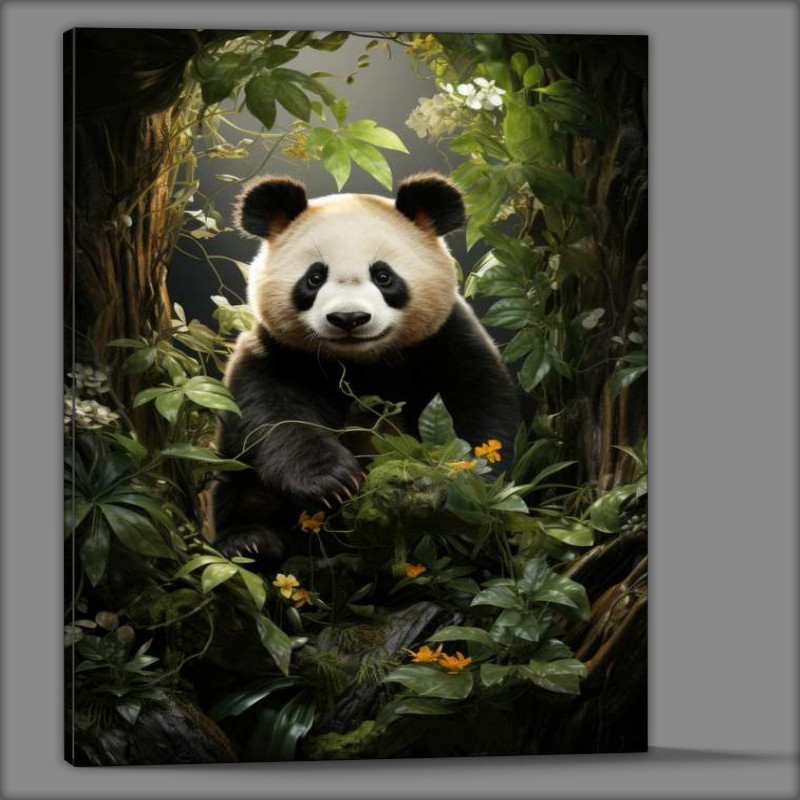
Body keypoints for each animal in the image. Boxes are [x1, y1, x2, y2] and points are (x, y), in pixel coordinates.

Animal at [210, 172, 520, 563]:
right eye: (314, 278)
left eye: (383, 276)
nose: (349, 318)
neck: (361, 362)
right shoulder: (278, 350)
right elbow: (272, 412)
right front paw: (332, 481)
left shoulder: (447, 338)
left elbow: (480, 406)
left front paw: (466, 497)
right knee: (240, 493)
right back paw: (251, 540)